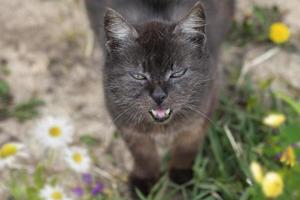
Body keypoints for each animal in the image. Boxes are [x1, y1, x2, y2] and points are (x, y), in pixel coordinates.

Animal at [84, 0, 234, 197]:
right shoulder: (124, 121)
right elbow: (143, 153)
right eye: (139, 76)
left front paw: (181, 180)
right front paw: (144, 182)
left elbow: (186, 148)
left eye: (177, 73)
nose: (159, 96)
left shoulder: (203, 110)